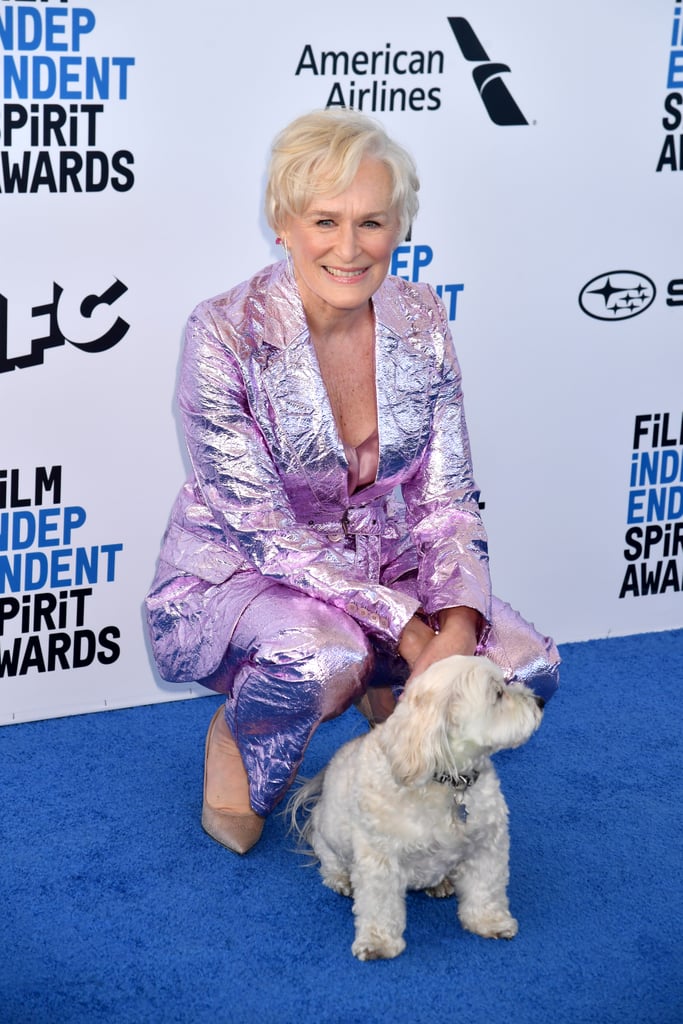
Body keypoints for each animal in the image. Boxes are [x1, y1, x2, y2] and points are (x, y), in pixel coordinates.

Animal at [288, 655, 544, 958]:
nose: (540, 701)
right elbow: (380, 904)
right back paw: (339, 876)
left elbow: (486, 887)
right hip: (329, 830)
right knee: (325, 852)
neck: (448, 781)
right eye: (498, 694)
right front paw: (378, 942)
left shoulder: (487, 845)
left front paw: (489, 922)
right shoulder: (380, 858)